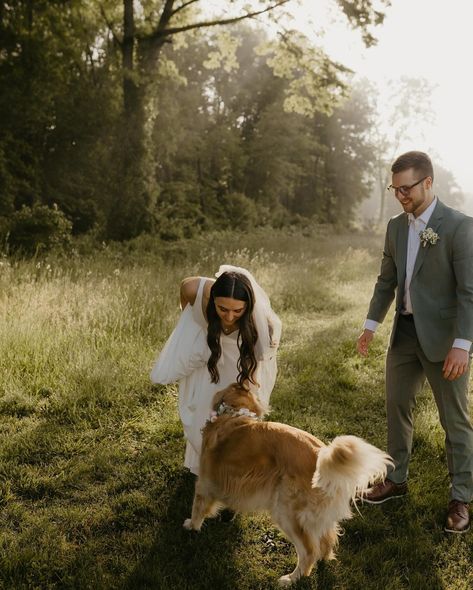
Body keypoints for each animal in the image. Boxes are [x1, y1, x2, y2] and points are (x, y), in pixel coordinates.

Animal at [183, 384, 390, 588]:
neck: (232, 414)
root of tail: (321, 455)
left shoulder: (204, 482)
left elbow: (198, 507)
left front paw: (192, 526)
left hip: (287, 513)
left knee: (309, 552)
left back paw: (291, 578)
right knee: (326, 540)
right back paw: (323, 560)